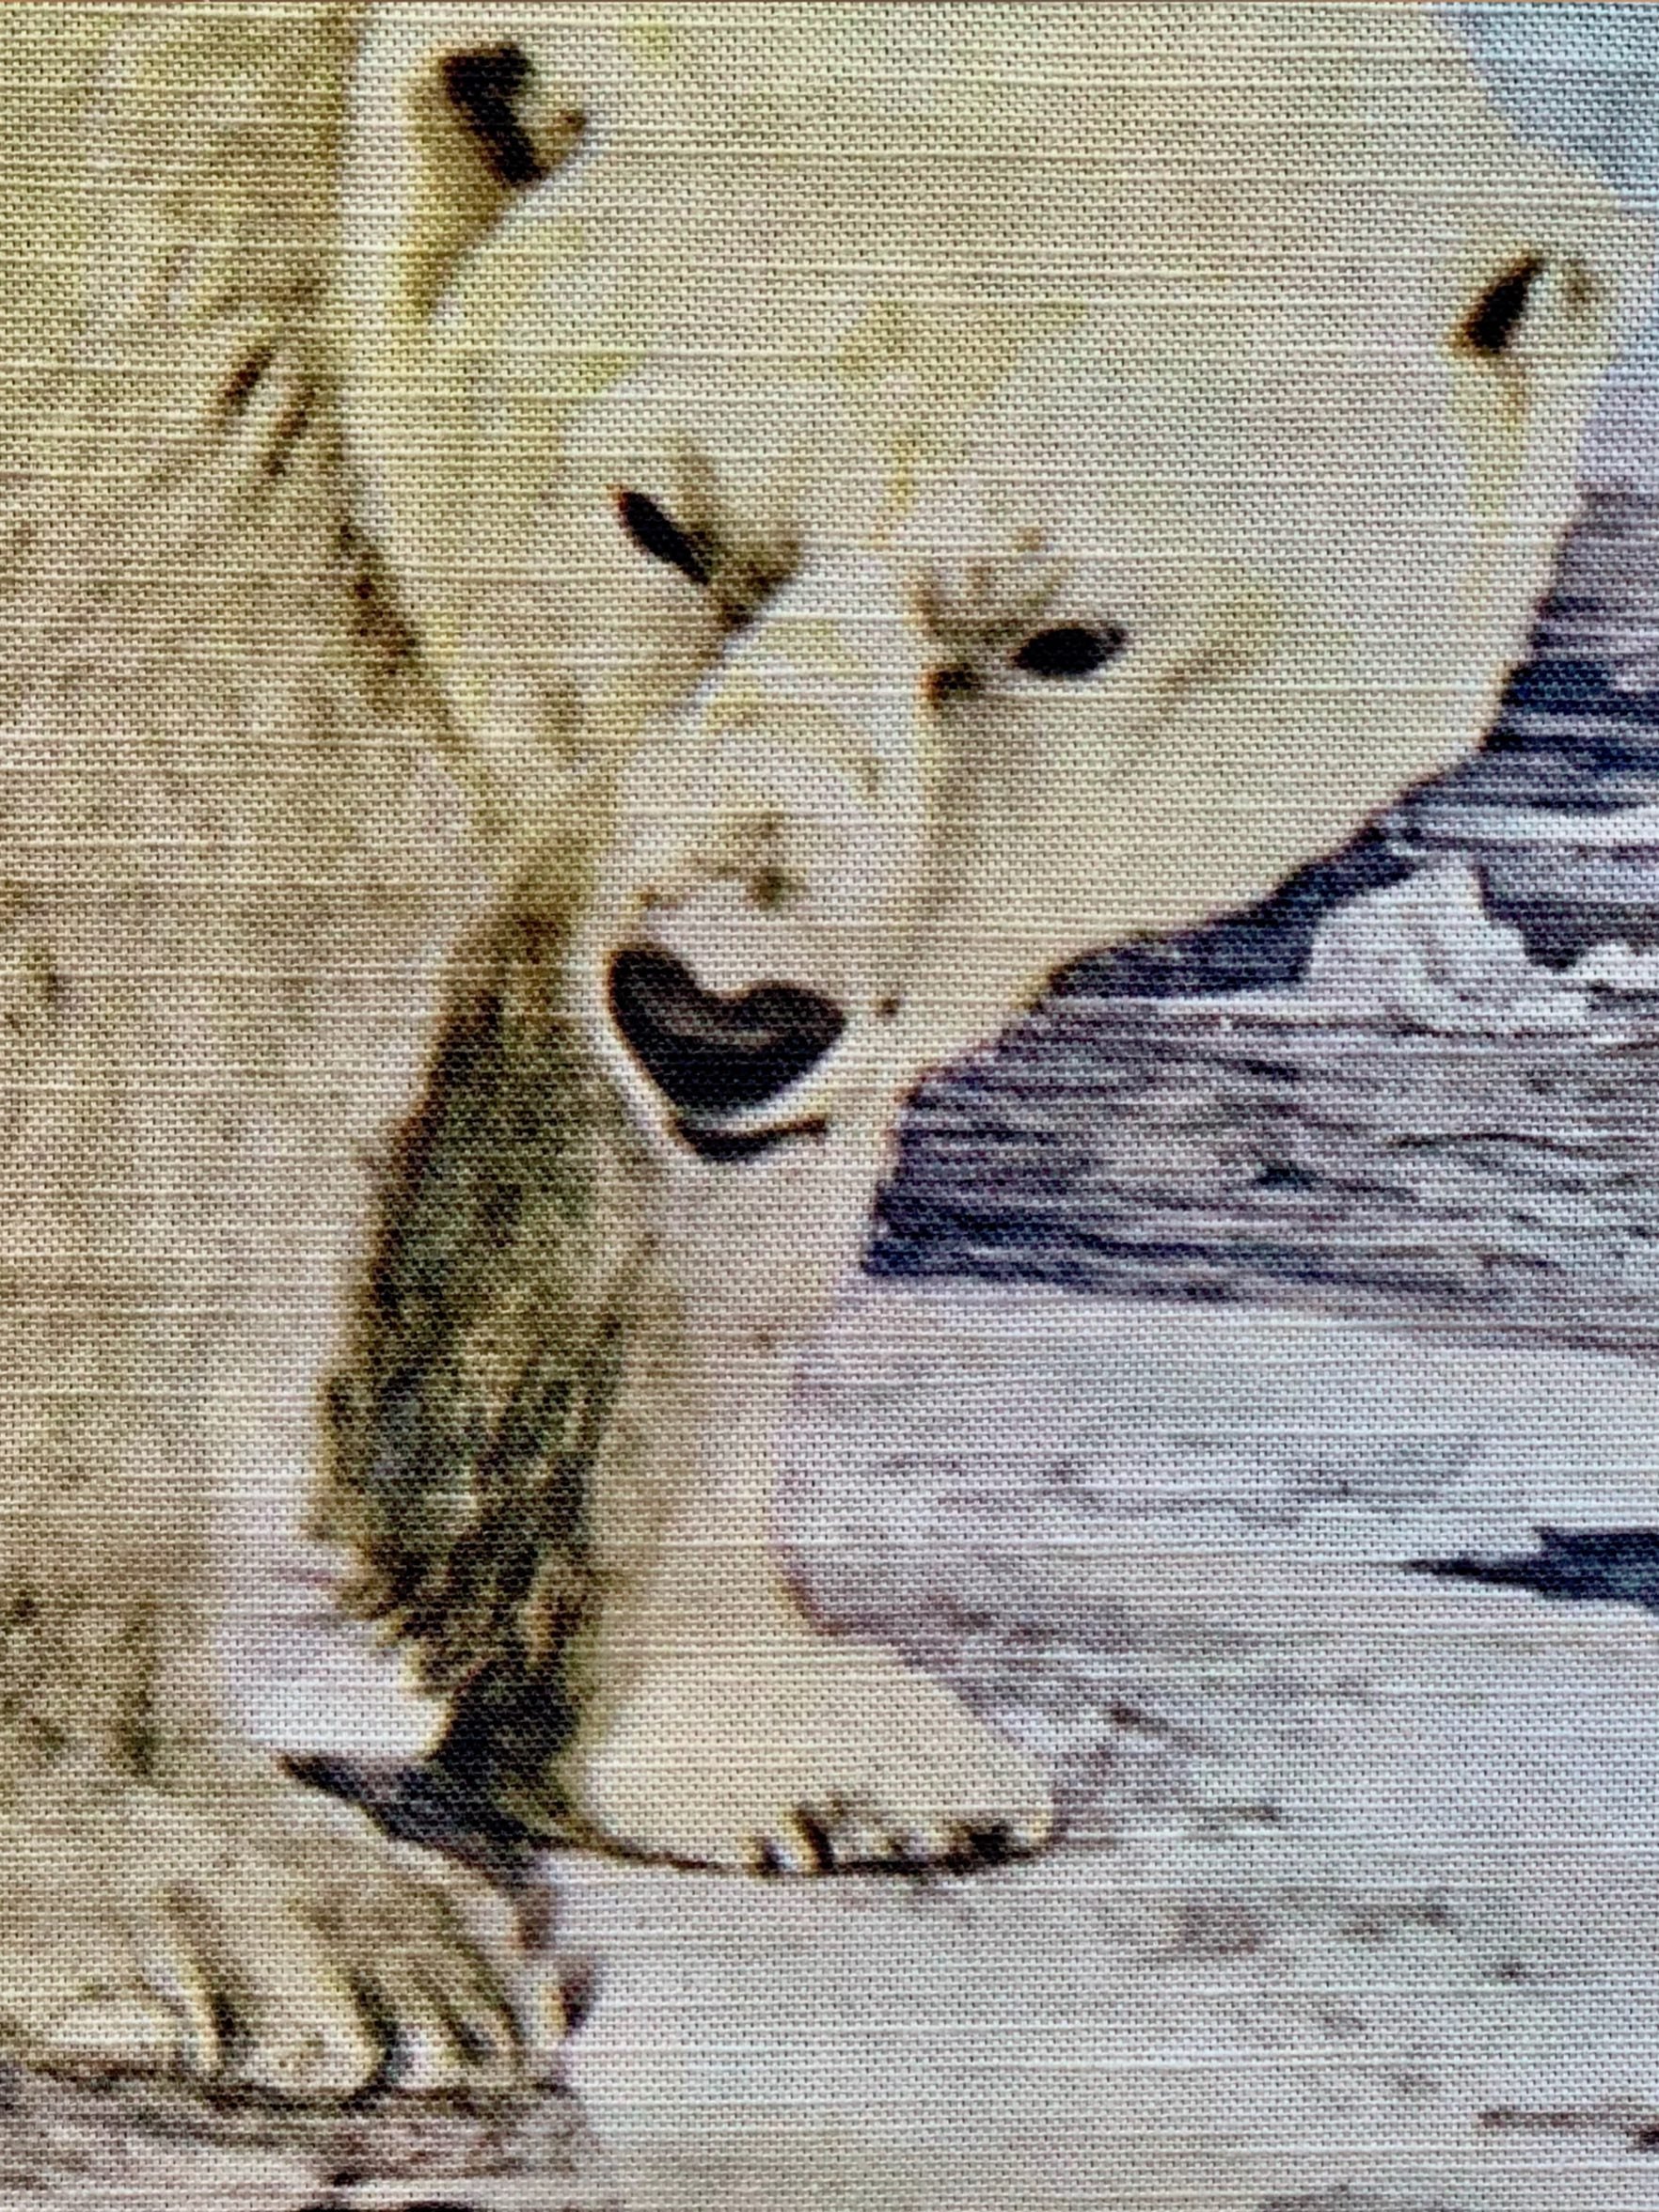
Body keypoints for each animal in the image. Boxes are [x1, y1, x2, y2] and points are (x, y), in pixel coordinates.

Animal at [0, 0, 1641, 2102]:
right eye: (663, 524)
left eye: (1061, 635)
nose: (719, 1012)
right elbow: (101, 1033)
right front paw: (251, 1920)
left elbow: (609, 1139)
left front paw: (793, 1744)